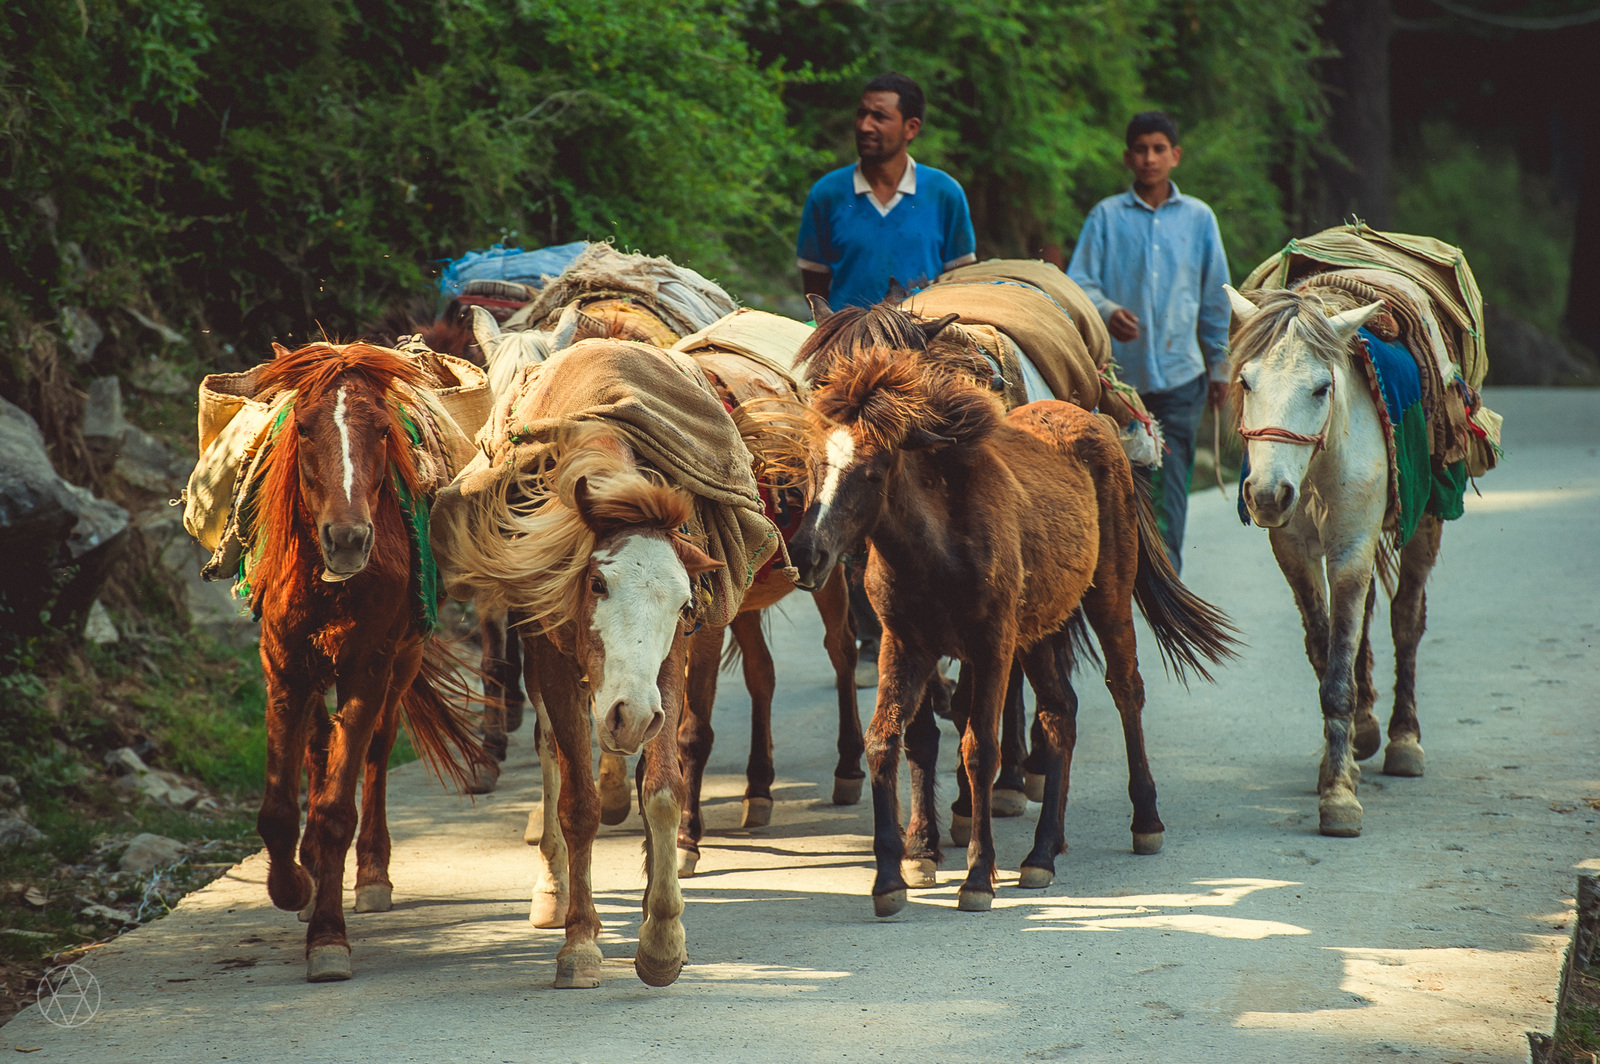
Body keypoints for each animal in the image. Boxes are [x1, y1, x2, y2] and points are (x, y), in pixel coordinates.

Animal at [244, 342, 486, 979]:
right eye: (303, 428)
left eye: (380, 430)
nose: (348, 539)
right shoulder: (284, 668)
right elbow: (278, 808)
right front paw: (293, 888)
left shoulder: (368, 669)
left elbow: (335, 809)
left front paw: (328, 936)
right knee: (317, 745)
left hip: (403, 661)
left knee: (376, 749)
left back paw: (373, 874)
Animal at [787, 337, 1235, 915]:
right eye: (814, 465)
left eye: (872, 471)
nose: (807, 554)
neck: (934, 551)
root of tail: (1093, 421)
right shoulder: (904, 645)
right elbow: (885, 740)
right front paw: (891, 876)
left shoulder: (991, 646)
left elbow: (980, 749)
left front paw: (978, 876)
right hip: (1040, 629)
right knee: (1060, 712)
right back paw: (1044, 851)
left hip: (1107, 597)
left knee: (1125, 690)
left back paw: (1146, 820)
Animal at [1216, 284, 1446, 838]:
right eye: (1246, 382)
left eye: (1322, 388)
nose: (1267, 494)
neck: (1317, 466)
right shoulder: (1295, 554)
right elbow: (1326, 654)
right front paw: (1334, 767)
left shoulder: (1351, 548)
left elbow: (1339, 674)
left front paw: (1339, 797)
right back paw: (1364, 733)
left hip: (1423, 524)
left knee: (1406, 620)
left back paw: (1403, 739)